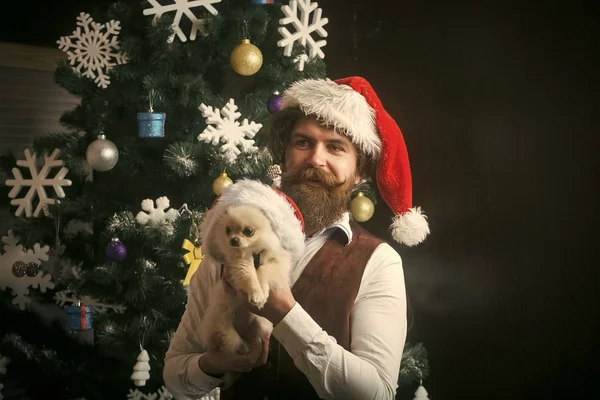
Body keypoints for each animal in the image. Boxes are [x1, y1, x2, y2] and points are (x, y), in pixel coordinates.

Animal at [199, 206, 292, 356]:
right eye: (227, 230)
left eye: (248, 231)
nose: (233, 240)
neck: (252, 252)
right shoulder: (241, 265)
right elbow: (250, 278)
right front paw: (257, 294)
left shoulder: (274, 261)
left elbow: (264, 271)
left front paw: (262, 290)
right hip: (222, 319)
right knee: (230, 338)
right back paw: (243, 347)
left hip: (261, 325)